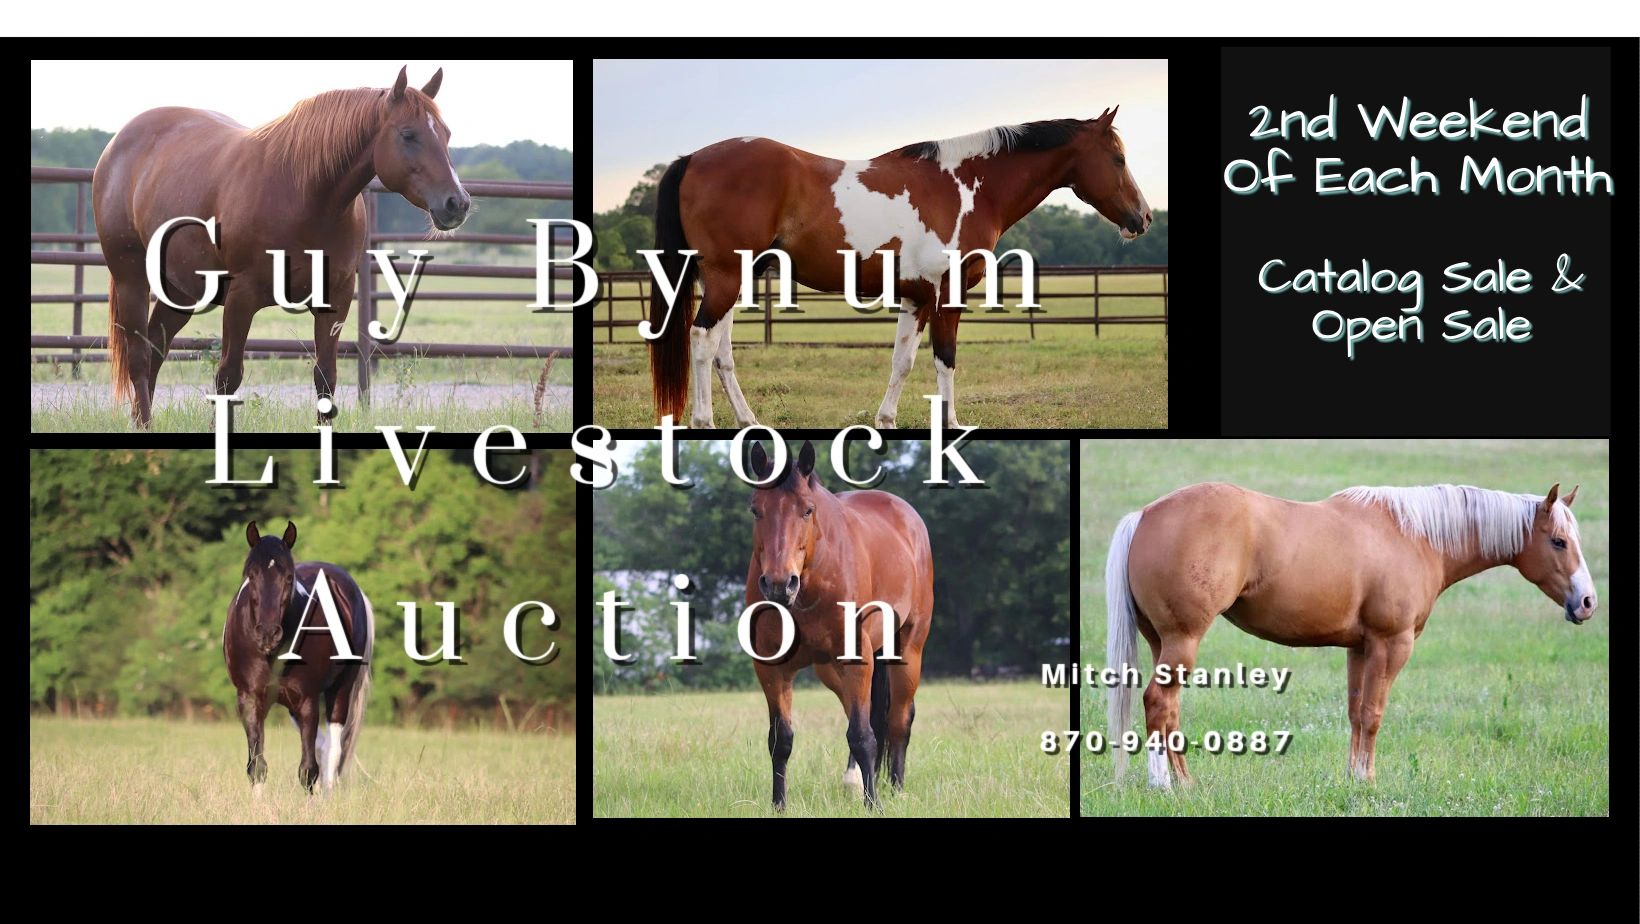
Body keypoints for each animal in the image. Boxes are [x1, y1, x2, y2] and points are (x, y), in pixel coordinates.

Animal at [93, 66, 470, 428]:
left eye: (447, 134)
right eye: (408, 134)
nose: (457, 203)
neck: (304, 194)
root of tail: (117, 146)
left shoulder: (336, 299)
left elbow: (325, 377)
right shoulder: (241, 298)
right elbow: (228, 377)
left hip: (181, 292)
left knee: (155, 348)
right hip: (131, 277)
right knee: (139, 356)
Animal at [223, 520, 375, 795]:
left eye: (288, 577)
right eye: (251, 574)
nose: (268, 633)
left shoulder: (307, 700)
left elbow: (307, 770)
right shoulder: (249, 699)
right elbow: (257, 765)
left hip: (340, 689)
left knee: (333, 749)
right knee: (323, 747)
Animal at [645, 110, 1152, 430]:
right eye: (1119, 158)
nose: (1144, 218)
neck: (966, 187)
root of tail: (693, 158)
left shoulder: (915, 296)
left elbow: (902, 361)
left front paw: (885, 420)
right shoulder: (948, 293)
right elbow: (945, 358)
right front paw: (951, 423)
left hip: (734, 279)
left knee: (722, 351)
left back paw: (747, 420)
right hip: (726, 278)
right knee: (700, 339)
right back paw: (703, 420)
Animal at [743, 440, 935, 810]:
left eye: (807, 510)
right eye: (756, 510)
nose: (779, 584)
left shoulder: (858, 659)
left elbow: (863, 735)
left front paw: (874, 805)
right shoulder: (771, 669)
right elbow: (780, 740)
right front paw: (779, 805)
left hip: (909, 651)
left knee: (898, 720)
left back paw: (896, 787)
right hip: (830, 670)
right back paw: (855, 780)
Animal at [1104, 482, 1597, 788]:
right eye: (1558, 541)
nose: (1588, 602)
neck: (1414, 536)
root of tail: (1144, 515)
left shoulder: (1359, 648)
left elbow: (1357, 713)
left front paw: (1352, 780)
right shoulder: (1391, 643)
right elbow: (1375, 714)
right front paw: (1368, 782)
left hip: (1162, 642)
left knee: (1169, 711)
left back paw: (1186, 783)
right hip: (1183, 640)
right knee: (1158, 703)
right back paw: (1163, 786)